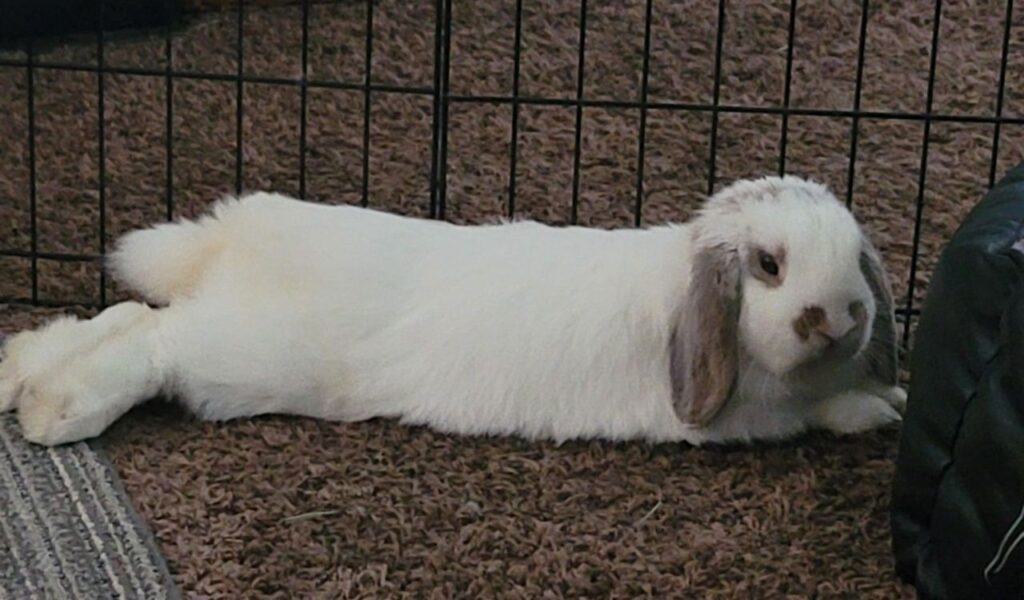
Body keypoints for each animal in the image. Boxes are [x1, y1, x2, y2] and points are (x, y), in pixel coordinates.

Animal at [0, 175, 906, 447]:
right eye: (768, 265)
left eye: (855, 252)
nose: (843, 314)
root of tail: (235, 235)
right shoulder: (751, 416)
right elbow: (823, 410)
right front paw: (883, 406)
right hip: (245, 356)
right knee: (155, 338)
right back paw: (53, 412)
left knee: (125, 316)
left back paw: (17, 374)